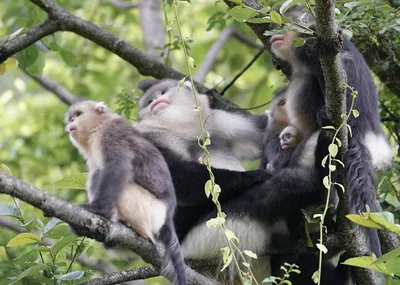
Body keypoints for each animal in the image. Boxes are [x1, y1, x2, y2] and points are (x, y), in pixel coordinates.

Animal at [64, 100, 188, 284]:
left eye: (78, 115)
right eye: (71, 118)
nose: (71, 124)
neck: (99, 126)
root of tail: (167, 219)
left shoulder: (111, 135)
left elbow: (118, 166)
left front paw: (99, 210)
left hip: (149, 210)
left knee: (100, 174)